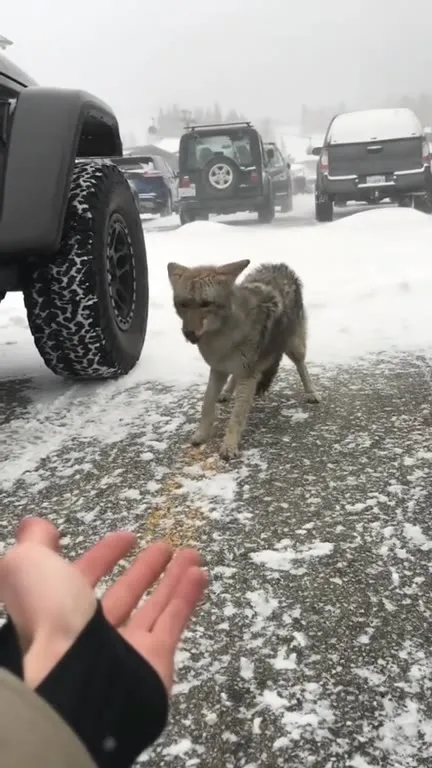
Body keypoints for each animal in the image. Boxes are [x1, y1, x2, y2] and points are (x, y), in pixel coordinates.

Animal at [167, 259, 320, 460]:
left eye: (205, 304)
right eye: (183, 304)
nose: (189, 334)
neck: (224, 338)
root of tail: (279, 265)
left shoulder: (248, 374)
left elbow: (237, 416)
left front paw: (229, 446)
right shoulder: (218, 368)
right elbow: (207, 403)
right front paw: (201, 435)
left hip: (294, 347)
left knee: (302, 366)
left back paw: (311, 393)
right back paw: (226, 392)